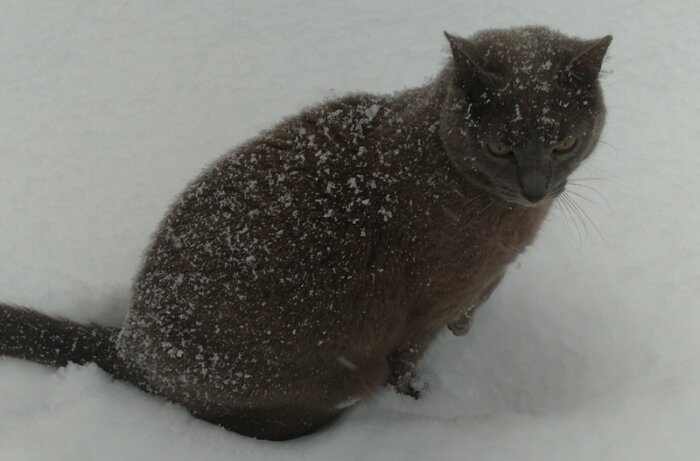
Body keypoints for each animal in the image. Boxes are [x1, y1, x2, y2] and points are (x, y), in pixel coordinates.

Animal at [0, 25, 608, 438]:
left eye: (563, 142)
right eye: (501, 146)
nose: (536, 186)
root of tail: (129, 340)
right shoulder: (427, 307)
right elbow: (409, 362)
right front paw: (419, 403)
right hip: (328, 378)